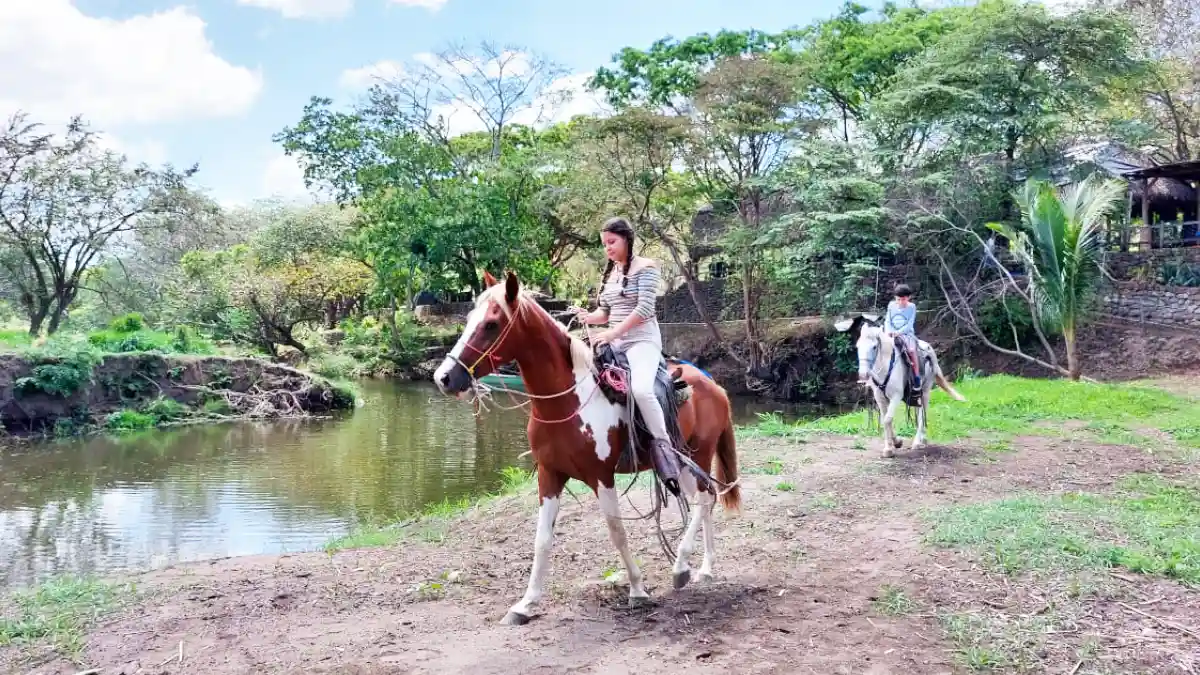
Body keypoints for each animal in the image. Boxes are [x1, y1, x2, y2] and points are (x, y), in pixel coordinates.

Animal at [432, 269, 739, 624]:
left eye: (492, 324)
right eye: (469, 318)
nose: (444, 377)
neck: (568, 401)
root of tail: (714, 385)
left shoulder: (601, 476)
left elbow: (617, 531)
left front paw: (637, 590)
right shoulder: (550, 475)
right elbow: (542, 540)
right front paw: (525, 604)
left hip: (699, 453)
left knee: (704, 500)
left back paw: (681, 567)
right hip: (686, 463)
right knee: (707, 500)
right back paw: (704, 568)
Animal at [849, 319, 960, 456]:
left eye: (874, 347)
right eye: (858, 346)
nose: (863, 374)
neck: (886, 366)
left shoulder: (896, 396)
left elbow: (888, 419)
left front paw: (892, 447)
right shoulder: (880, 397)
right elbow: (885, 420)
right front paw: (893, 445)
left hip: (926, 390)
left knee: (922, 414)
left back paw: (918, 442)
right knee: (918, 412)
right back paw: (922, 439)